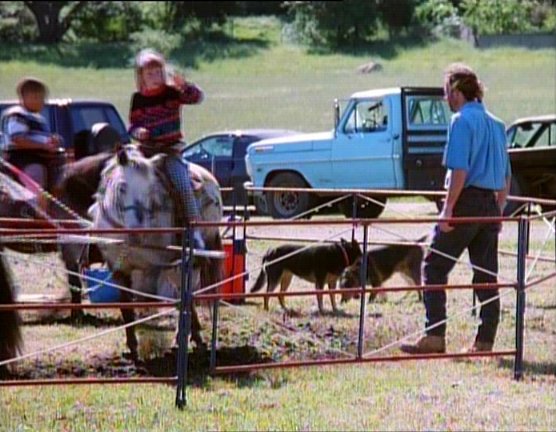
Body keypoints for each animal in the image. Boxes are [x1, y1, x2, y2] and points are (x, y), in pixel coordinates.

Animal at [89, 147, 224, 360]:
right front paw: (132, 347)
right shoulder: (118, 269)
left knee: (187, 293)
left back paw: (189, 338)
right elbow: (125, 306)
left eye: (150, 192)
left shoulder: (158, 266)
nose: (136, 233)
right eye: (121, 188)